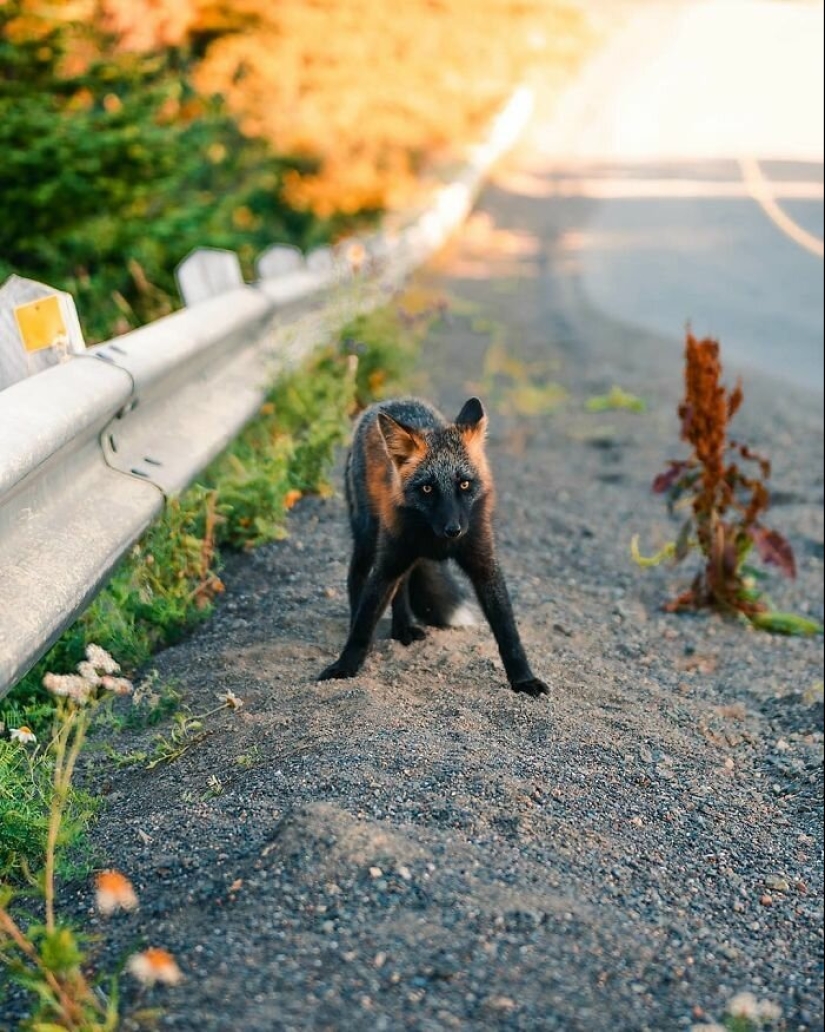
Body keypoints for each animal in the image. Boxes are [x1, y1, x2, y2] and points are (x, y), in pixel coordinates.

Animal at [320, 398, 553, 697]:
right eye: (428, 489)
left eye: (464, 484)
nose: (453, 530)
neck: (437, 542)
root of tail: (387, 402)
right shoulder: (389, 561)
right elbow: (364, 623)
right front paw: (345, 666)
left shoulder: (484, 564)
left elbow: (508, 632)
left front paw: (523, 680)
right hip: (368, 537)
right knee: (357, 579)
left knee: (403, 586)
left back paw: (403, 628)